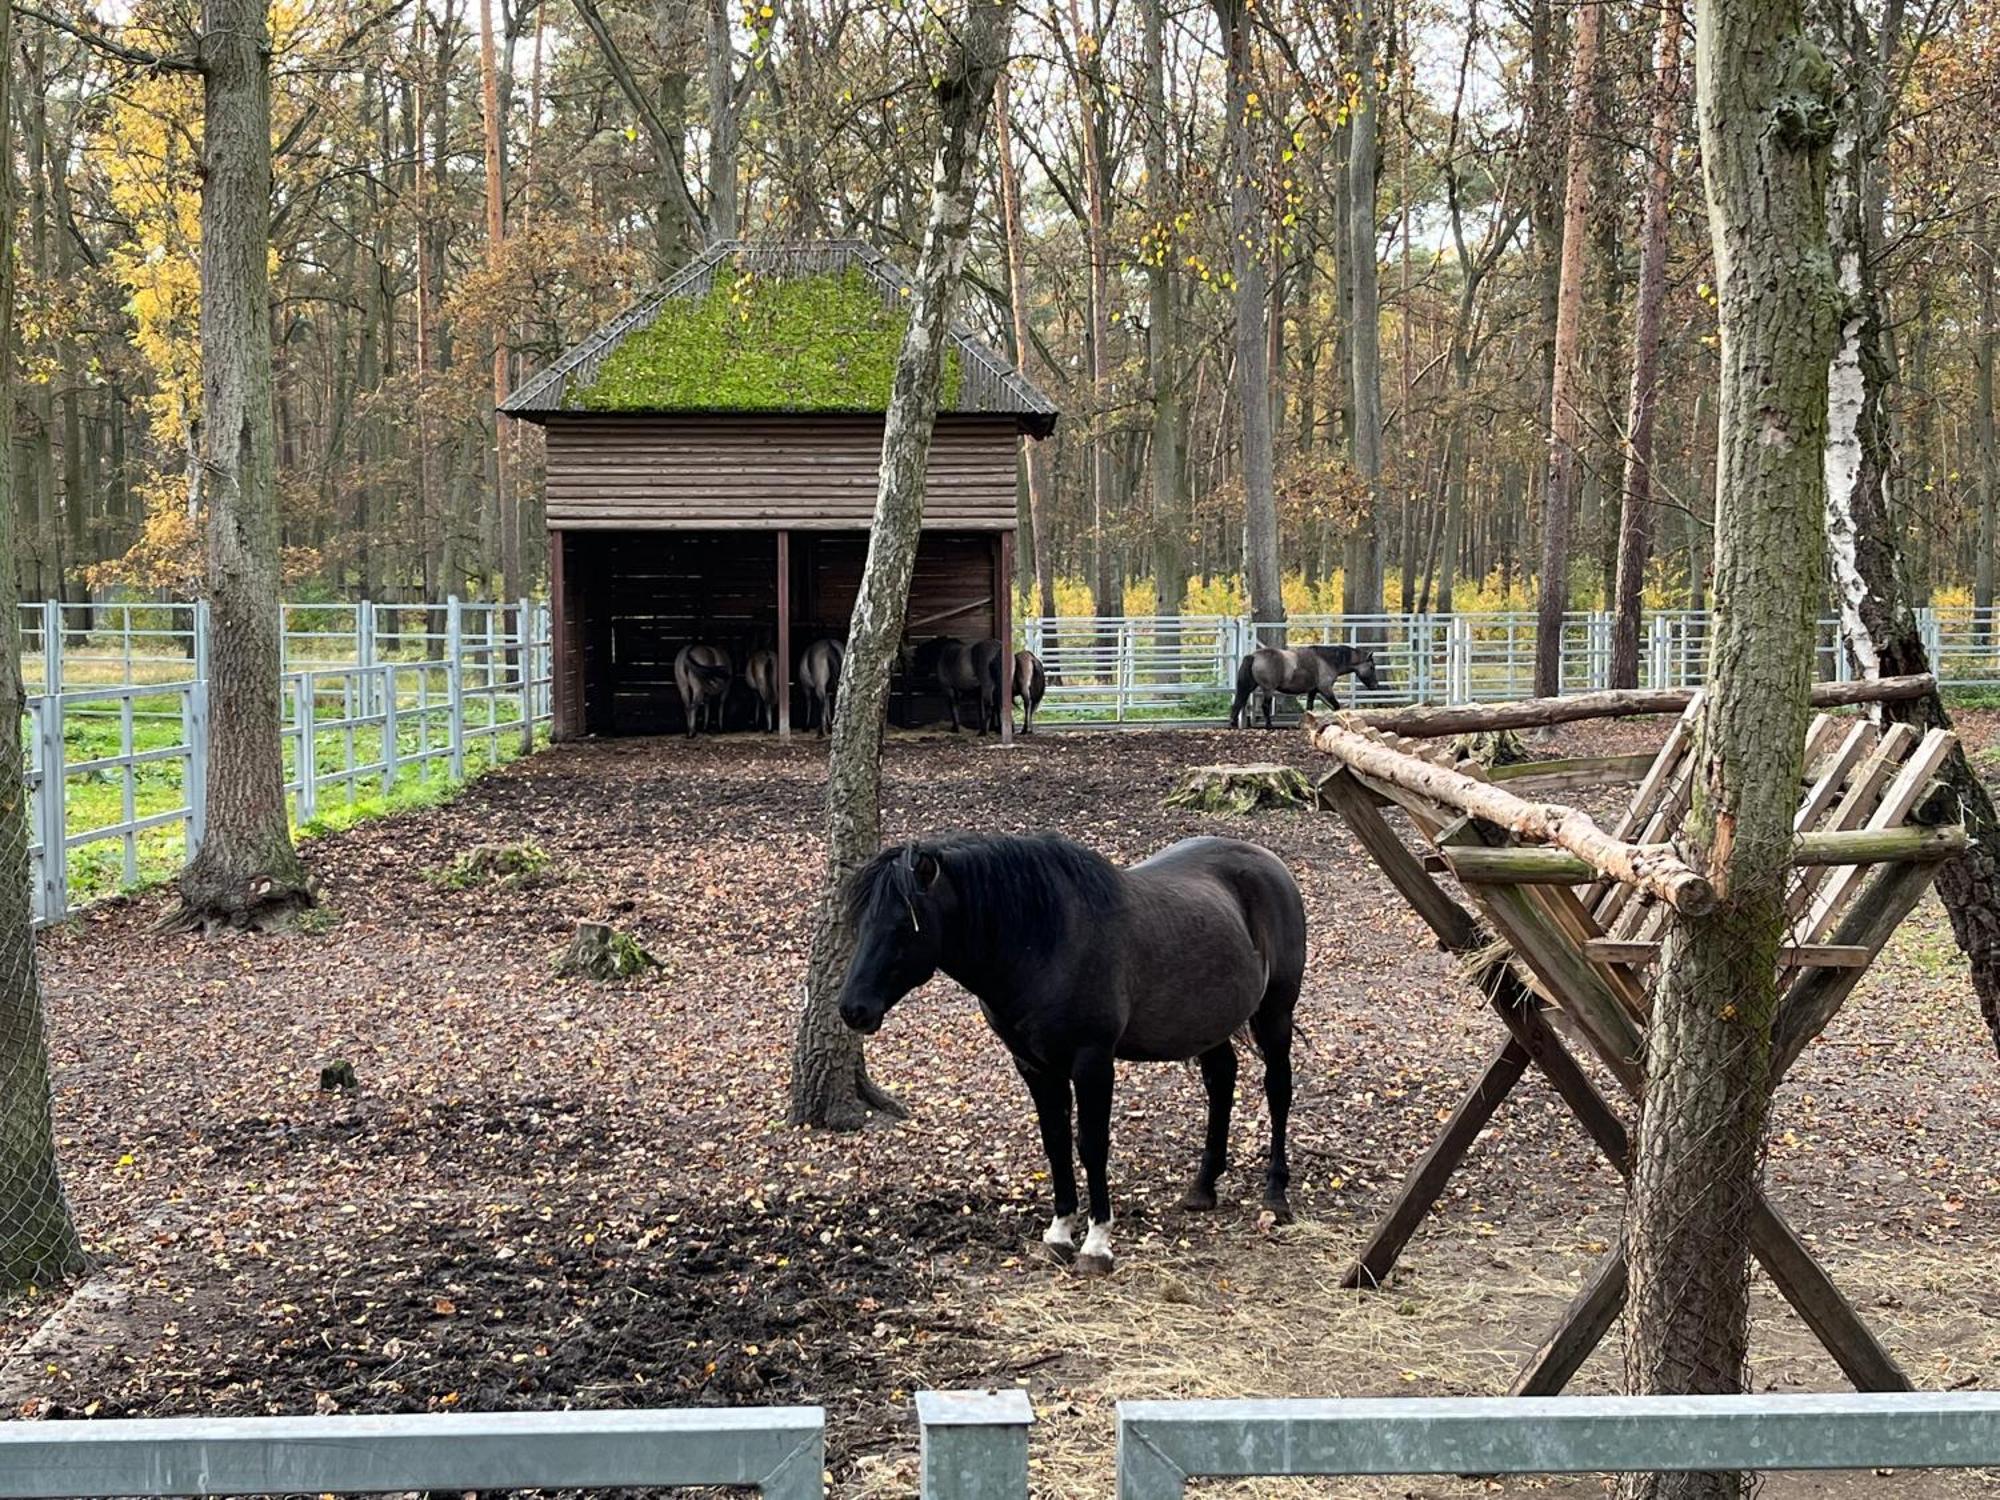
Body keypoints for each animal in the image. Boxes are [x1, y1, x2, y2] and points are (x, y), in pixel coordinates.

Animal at [836, 836, 1304, 1280]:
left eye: (904, 925)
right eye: (860, 923)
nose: (852, 1009)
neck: (1044, 941)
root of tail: (1269, 862)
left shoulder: (1092, 1062)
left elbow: (1091, 1144)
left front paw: (1097, 1244)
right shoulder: (1034, 1066)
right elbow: (1056, 1141)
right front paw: (1060, 1234)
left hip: (1275, 1015)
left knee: (1278, 1091)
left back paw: (1275, 1195)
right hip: (1208, 1023)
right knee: (1221, 1083)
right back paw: (1203, 1188)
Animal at [1224, 648, 1384, 736]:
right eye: (1371, 667)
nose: (1375, 686)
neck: (1326, 660)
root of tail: (1254, 656)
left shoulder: (1313, 691)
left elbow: (1309, 708)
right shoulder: (1325, 689)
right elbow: (1336, 706)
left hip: (1249, 687)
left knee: (1238, 702)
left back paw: (1233, 723)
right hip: (1268, 689)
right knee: (1265, 706)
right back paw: (1269, 726)